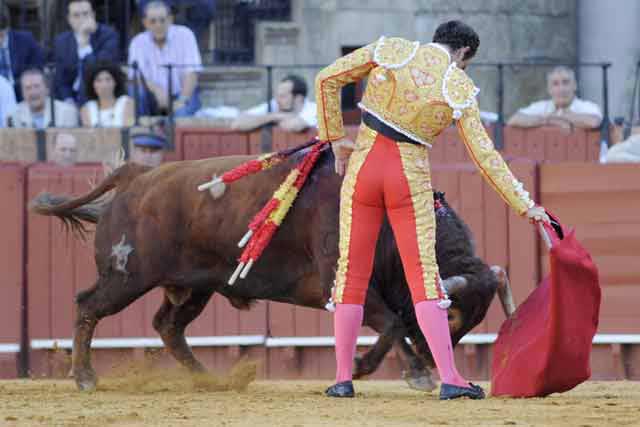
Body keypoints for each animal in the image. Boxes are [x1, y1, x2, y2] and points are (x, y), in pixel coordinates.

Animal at [31, 149, 516, 392]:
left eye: (473, 322)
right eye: (451, 317)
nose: (441, 363)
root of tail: (136, 174)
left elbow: (391, 323)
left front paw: (382, 368)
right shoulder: (339, 280)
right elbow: (394, 322)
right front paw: (404, 372)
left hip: (194, 286)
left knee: (167, 326)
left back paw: (209, 380)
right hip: (126, 277)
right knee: (87, 306)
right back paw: (85, 377)